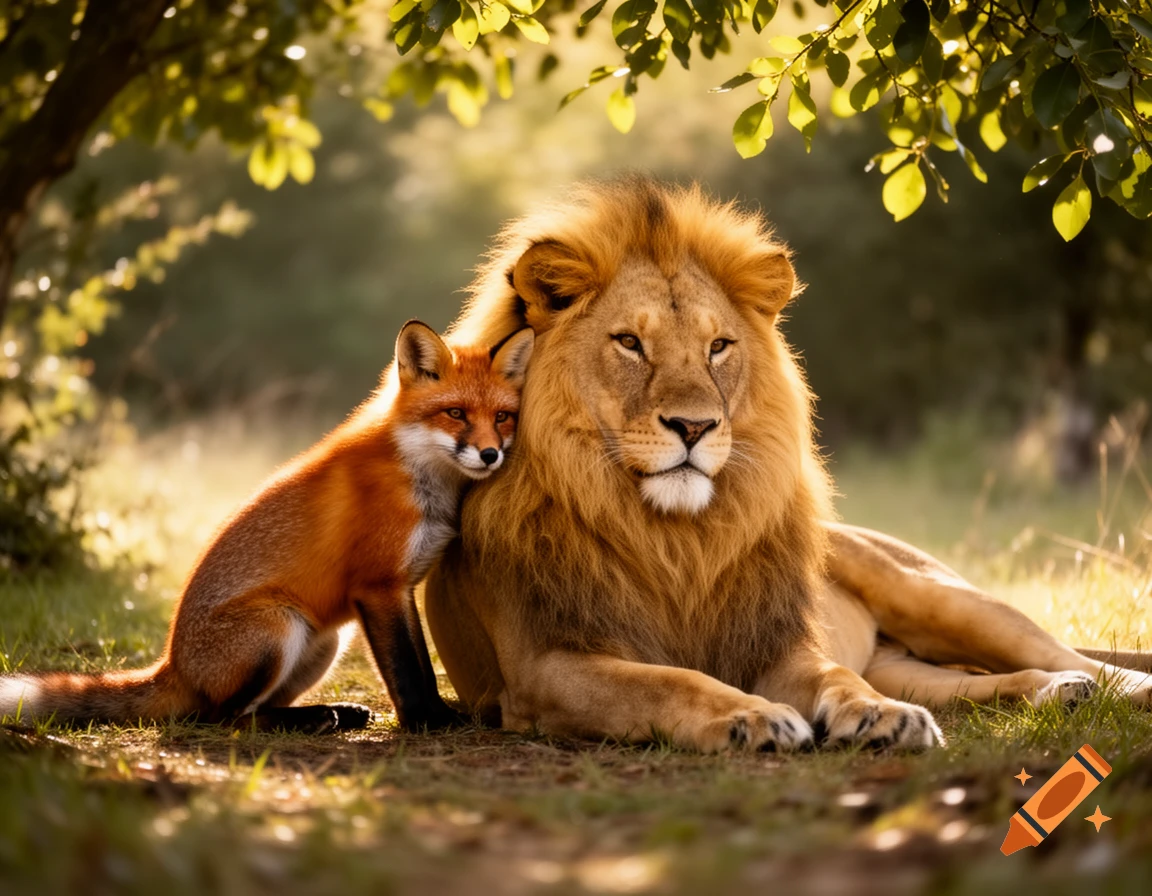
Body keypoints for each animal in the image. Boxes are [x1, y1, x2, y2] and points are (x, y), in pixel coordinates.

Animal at [0, 320, 534, 733]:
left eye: (503, 417)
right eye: (456, 413)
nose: (490, 454)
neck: (419, 478)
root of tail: (173, 663)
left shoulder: (399, 589)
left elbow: (422, 663)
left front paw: (438, 716)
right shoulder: (379, 585)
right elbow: (407, 671)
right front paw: (429, 722)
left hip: (325, 641)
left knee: (256, 707)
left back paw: (331, 713)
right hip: (277, 628)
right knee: (224, 717)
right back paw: (313, 719)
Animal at [424, 176, 1152, 752]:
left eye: (718, 347)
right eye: (629, 343)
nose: (694, 426)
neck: (673, 537)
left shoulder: (781, 646)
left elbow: (837, 676)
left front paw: (880, 718)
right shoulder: (544, 668)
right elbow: (667, 682)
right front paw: (754, 718)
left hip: (941, 598)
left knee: (1058, 651)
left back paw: (1112, 687)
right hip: (917, 666)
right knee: (987, 682)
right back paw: (1059, 694)